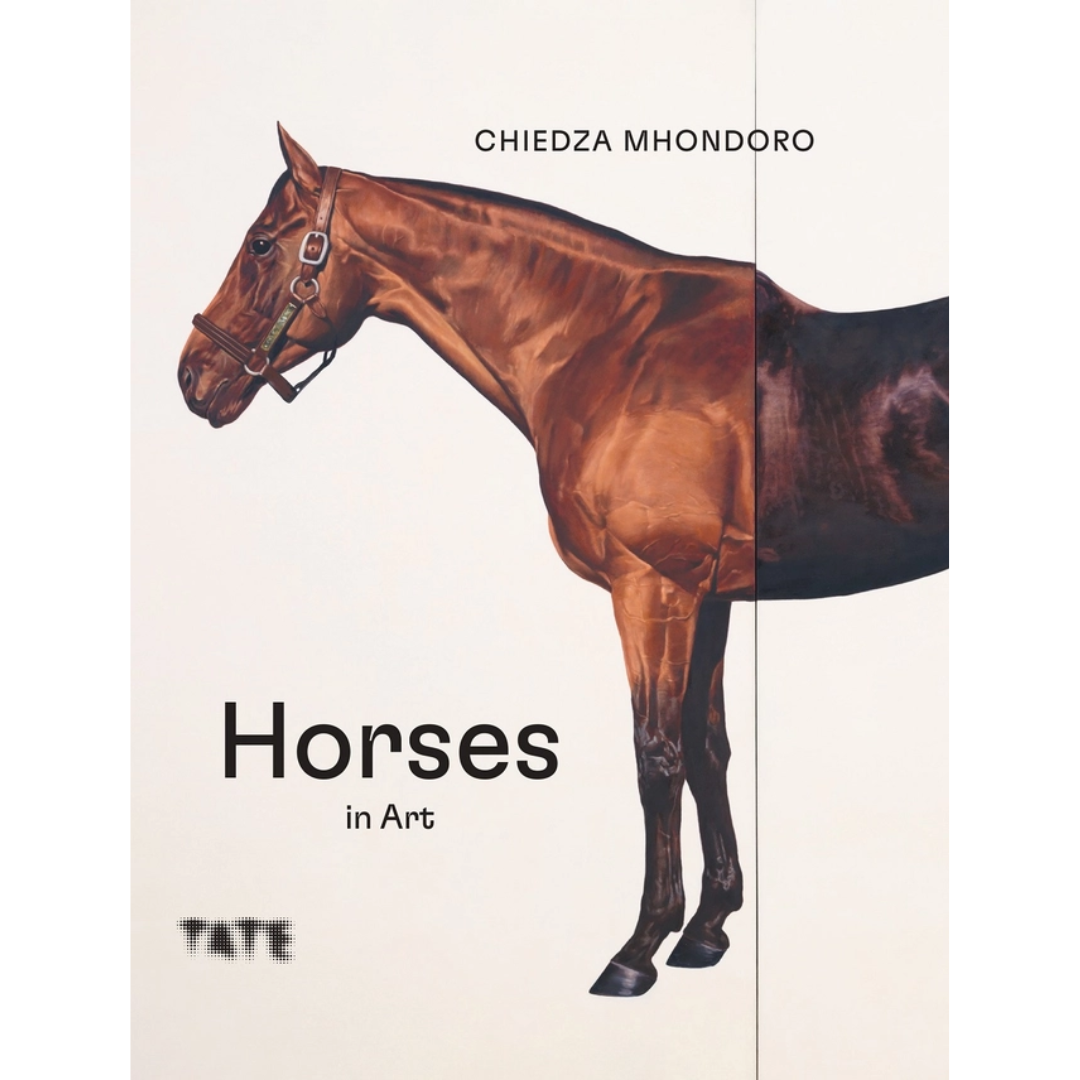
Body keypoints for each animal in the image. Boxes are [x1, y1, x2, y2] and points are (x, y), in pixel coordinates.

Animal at [178, 125, 949, 997]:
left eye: (261, 244)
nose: (191, 375)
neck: (613, 347)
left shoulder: (652, 589)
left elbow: (658, 757)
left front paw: (639, 949)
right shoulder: (709, 595)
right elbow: (708, 746)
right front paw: (708, 929)